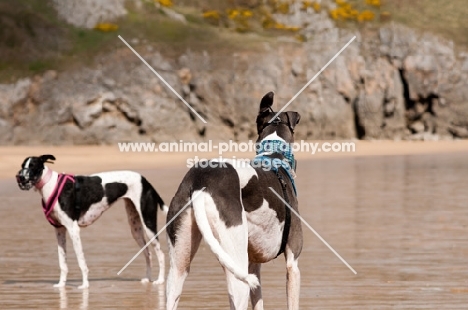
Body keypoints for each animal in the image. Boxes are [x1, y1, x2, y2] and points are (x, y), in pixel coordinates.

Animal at [15, 156, 167, 290]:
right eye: (22, 165)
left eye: (33, 166)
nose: (19, 177)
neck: (51, 186)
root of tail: (146, 182)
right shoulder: (59, 230)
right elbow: (63, 263)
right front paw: (61, 285)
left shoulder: (73, 230)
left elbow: (81, 262)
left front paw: (85, 285)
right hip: (135, 228)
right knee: (148, 253)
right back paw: (148, 278)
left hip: (149, 225)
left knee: (160, 254)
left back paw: (160, 280)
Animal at [165, 92, 304, 310]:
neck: (274, 156)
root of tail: (200, 184)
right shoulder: (292, 263)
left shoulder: (253, 266)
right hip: (237, 266)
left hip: (179, 263)